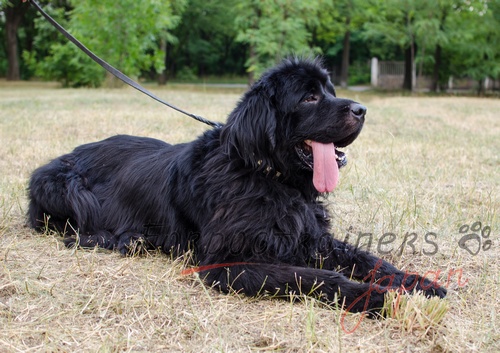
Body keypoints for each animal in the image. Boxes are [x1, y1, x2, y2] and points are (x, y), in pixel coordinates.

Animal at [29, 57, 448, 314]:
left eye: (329, 90)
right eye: (310, 97)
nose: (362, 109)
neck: (268, 177)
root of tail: (59, 160)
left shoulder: (313, 237)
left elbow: (368, 258)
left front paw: (418, 283)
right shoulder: (229, 262)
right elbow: (310, 276)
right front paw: (376, 298)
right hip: (66, 188)